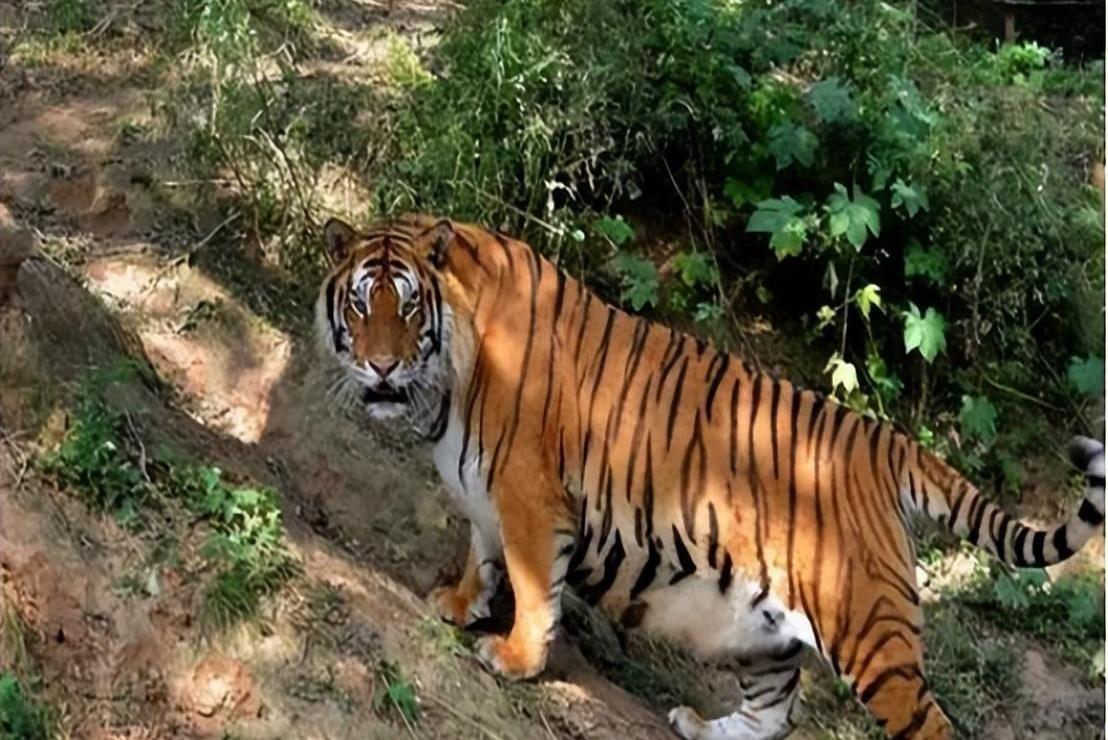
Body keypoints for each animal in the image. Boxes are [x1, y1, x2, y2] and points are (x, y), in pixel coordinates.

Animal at [316, 214, 1103, 740]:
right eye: (359, 303)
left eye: (406, 305)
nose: (380, 367)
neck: (445, 378)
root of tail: (888, 443)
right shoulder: (484, 488)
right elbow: (481, 554)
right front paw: (459, 603)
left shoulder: (529, 493)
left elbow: (535, 587)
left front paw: (512, 657)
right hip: (771, 631)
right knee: (773, 715)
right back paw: (699, 726)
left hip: (870, 630)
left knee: (926, 723)